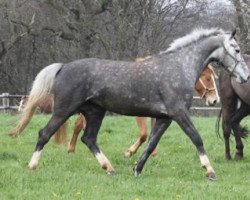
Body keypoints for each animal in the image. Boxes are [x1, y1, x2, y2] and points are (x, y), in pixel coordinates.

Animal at [11, 27, 250, 180]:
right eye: (237, 50)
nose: (245, 77)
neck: (179, 67)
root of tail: (63, 67)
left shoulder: (165, 118)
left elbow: (151, 143)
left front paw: (136, 169)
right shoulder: (179, 113)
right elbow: (196, 138)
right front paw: (210, 171)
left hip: (94, 113)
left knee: (89, 139)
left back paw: (109, 169)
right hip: (64, 111)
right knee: (45, 134)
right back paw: (32, 166)